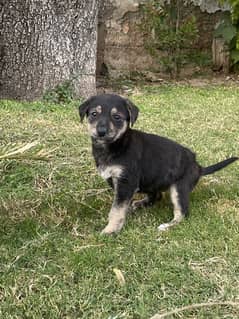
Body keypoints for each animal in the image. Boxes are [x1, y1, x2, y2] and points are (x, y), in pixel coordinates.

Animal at [79, 94, 238, 234]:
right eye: (94, 114)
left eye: (117, 117)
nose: (101, 132)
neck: (116, 145)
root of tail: (198, 167)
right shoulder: (118, 182)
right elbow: (120, 206)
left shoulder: (126, 182)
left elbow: (116, 210)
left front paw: (110, 230)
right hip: (151, 180)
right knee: (157, 195)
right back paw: (140, 204)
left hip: (179, 188)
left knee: (183, 213)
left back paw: (167, 226)